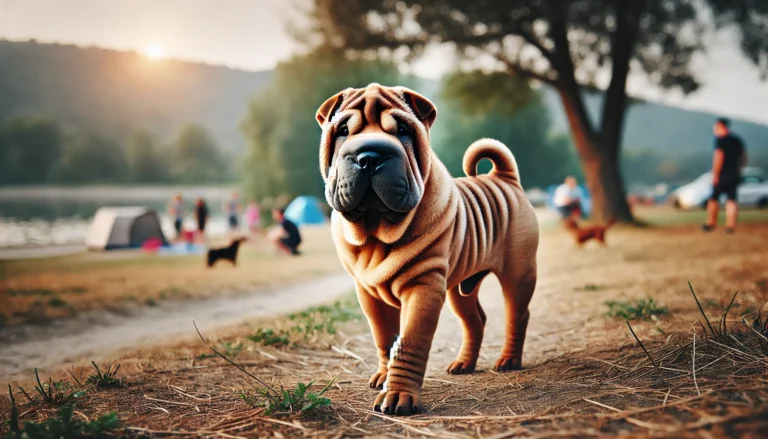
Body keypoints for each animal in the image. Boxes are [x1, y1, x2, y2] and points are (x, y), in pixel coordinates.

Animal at [316, 84, 536, 418]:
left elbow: (409, 342)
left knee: (517, 314)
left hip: (518, 274)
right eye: (342, 131)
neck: (377, 232)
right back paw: (463, 364)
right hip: (460, 290)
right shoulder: (368, 294)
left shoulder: (424, 288)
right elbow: (384, 339)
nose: (370, 156)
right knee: (476, 320)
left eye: (403, 131)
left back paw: (509, 359)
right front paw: (384, 376)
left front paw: (398, 395)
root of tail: (504, 178)